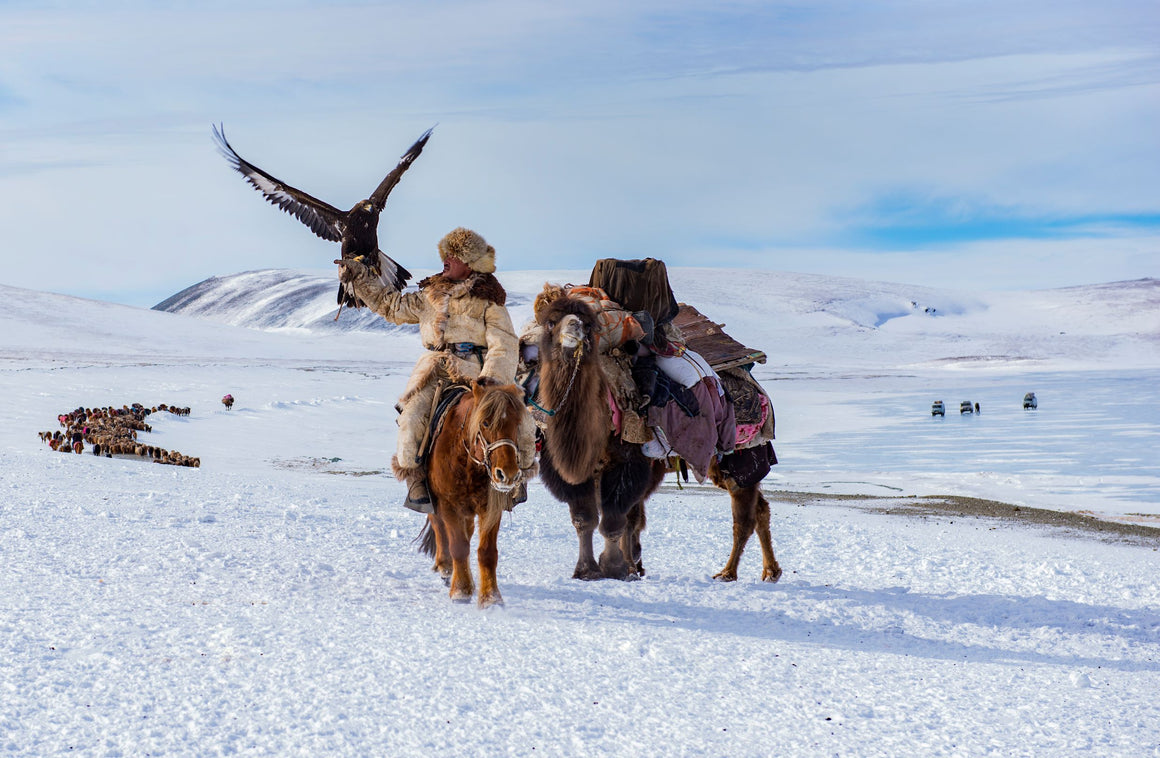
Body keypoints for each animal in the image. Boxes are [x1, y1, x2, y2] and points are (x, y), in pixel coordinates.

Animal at [417, 376, 531, 608]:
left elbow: (487, 553)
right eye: (486, 423)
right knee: (439, 526)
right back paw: (445, 568)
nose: (507, 474)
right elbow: (458, 546)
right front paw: (460, 591)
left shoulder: (491, 508)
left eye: (517, 423)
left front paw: (491, 598)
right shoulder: (448, 506)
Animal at [538, 292, 784, 582]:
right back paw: (770, 571)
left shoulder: (627, 463)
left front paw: (618, 567)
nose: (573, 327)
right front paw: (588, 570)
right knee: (761, 509)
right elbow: (584, 519)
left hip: (741, 459)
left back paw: (728, 572)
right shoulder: (569, 470)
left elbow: (616, 520)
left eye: (588, 324)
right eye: (551, 322)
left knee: (744, 516)